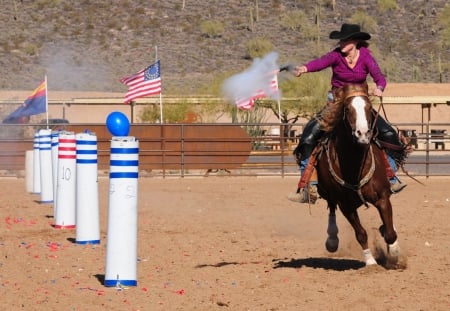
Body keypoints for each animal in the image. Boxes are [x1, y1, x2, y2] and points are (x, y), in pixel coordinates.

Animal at [312, 83, 400, 268]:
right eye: (347, 108)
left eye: (368, 107)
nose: (363, 134)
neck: (355, 165)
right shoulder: (346, 205)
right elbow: (361, 233)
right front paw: (371, 261)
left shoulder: (382, 197)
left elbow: (390, 233)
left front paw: (394, 254)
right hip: (331, 194)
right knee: (331, 208)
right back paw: (332, 240)